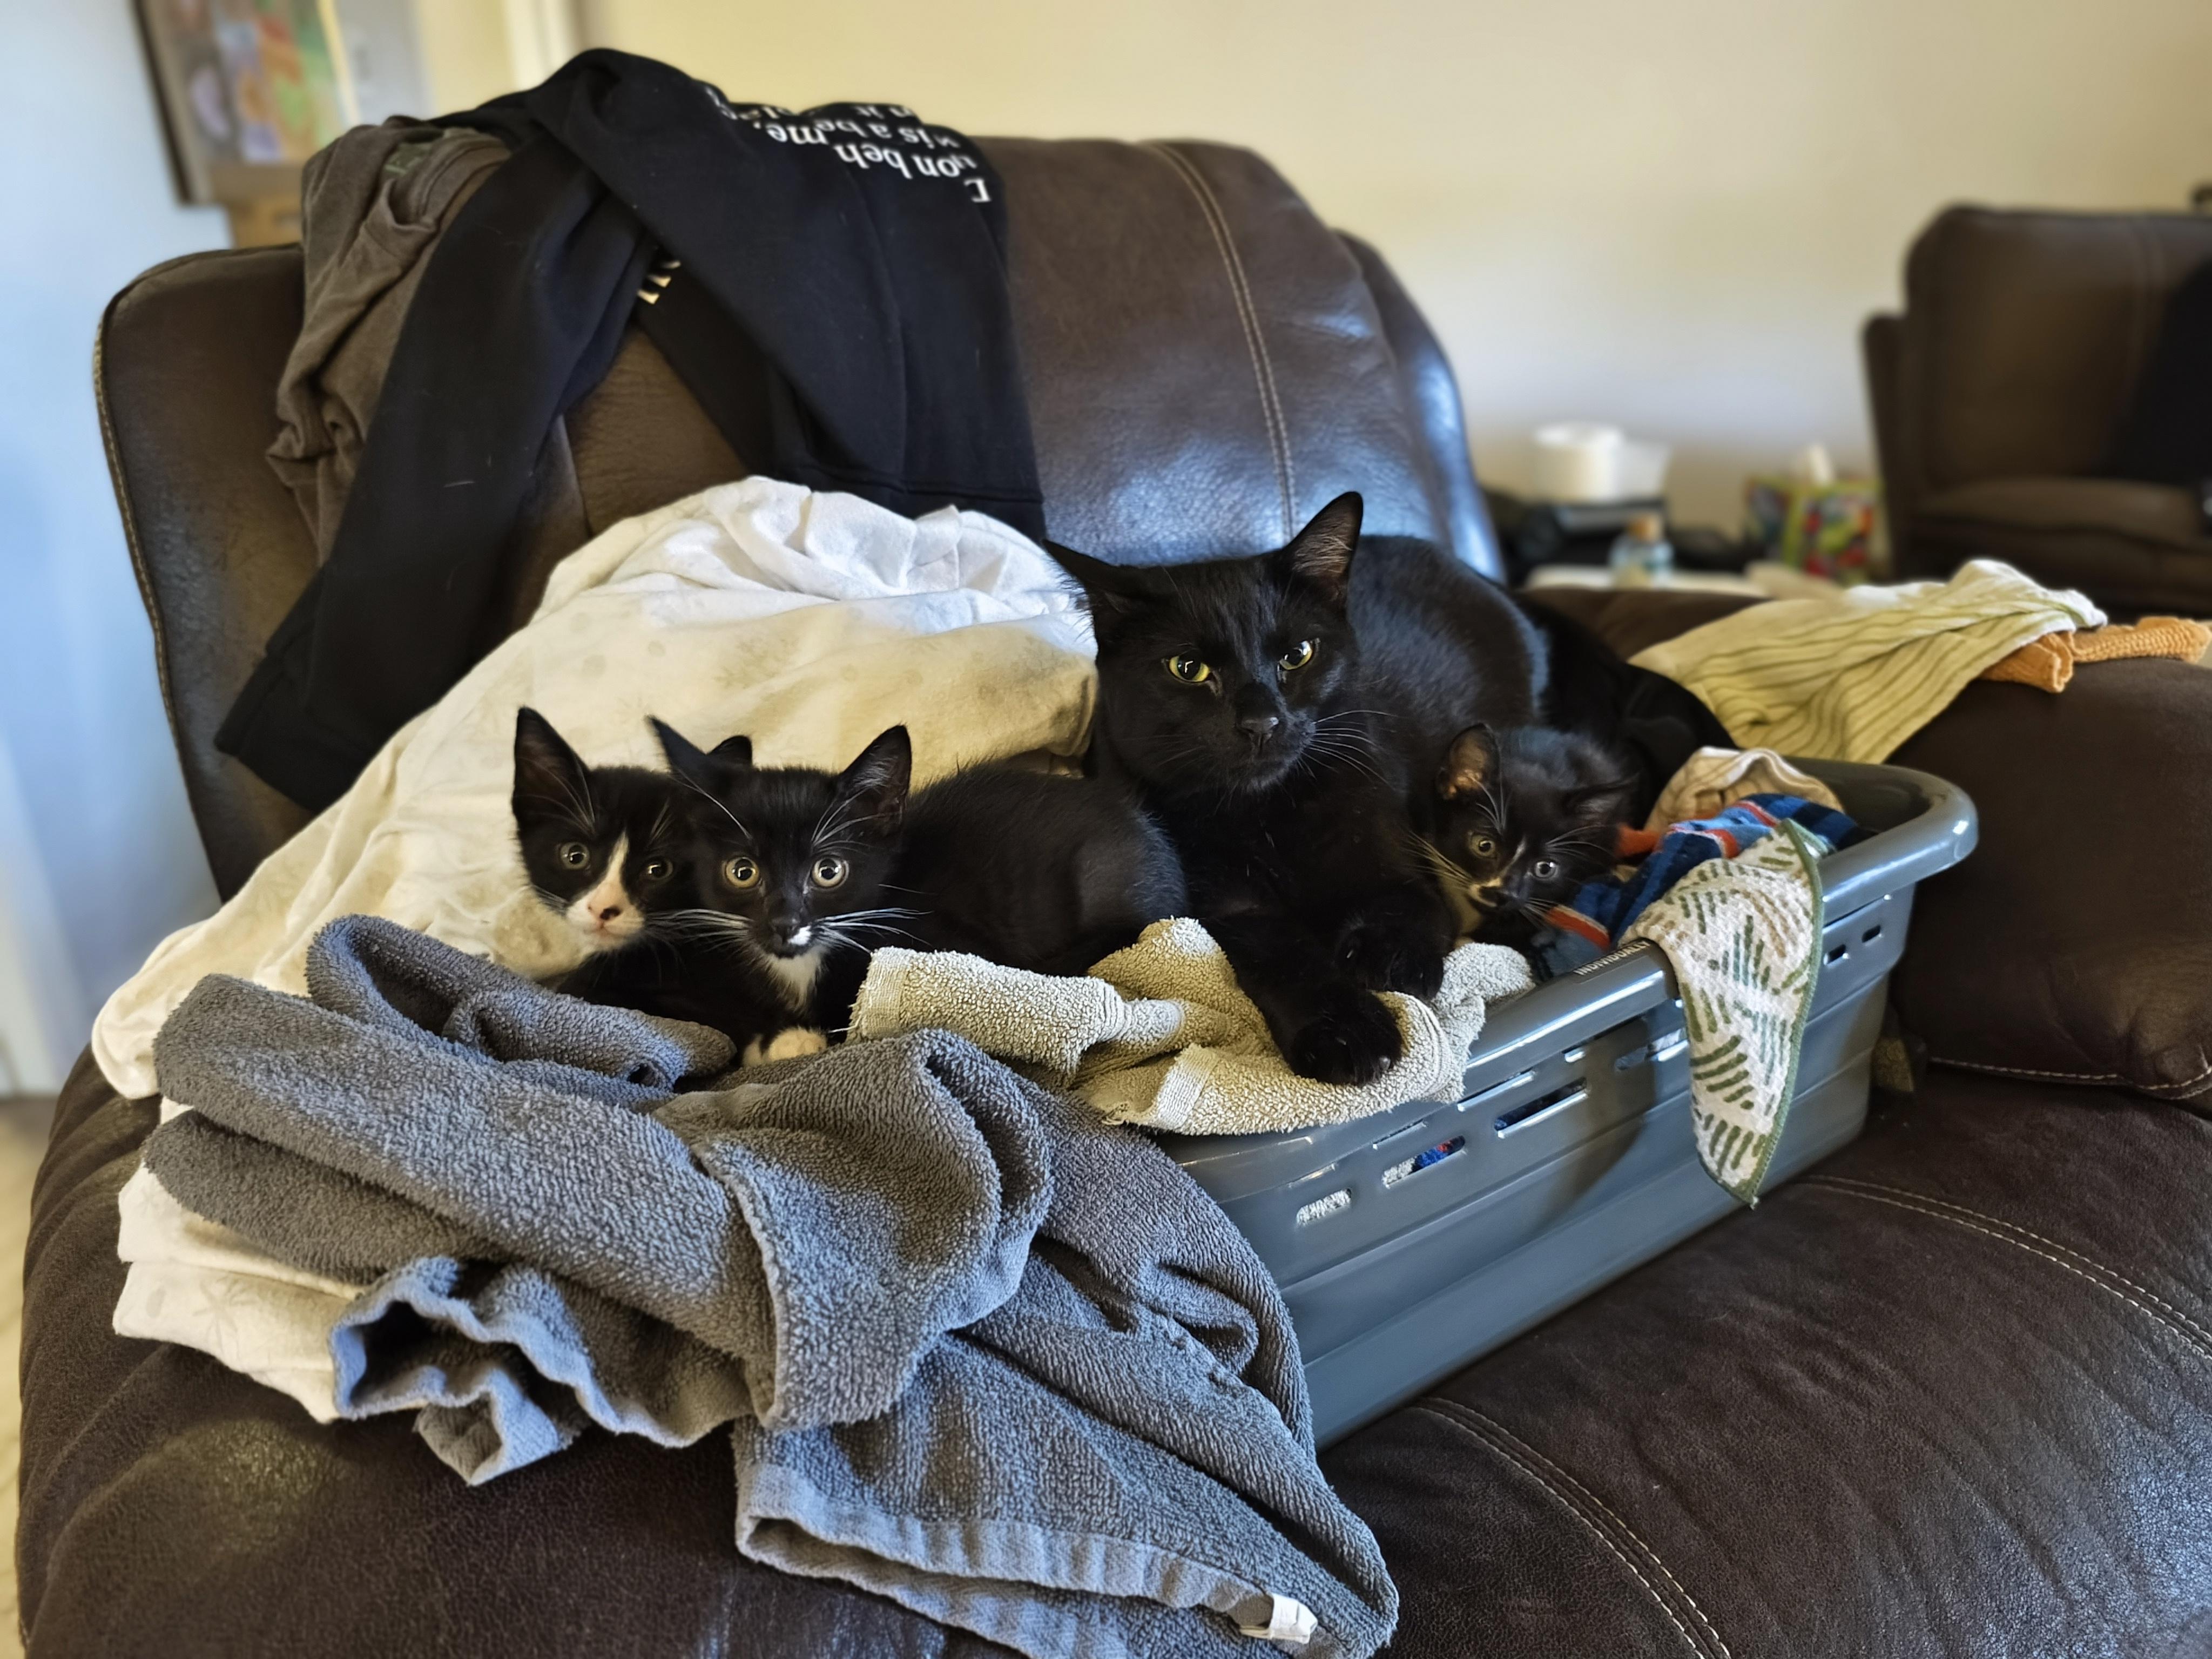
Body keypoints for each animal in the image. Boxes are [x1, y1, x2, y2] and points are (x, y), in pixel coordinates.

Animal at [1048, 495, 1459, 1085]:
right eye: (1188, 668)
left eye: (1298, 654)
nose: (1262, 723)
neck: (1268, 813)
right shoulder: (1228, 909)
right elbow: (1283, 954)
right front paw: (1348, 1031)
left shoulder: (1400, 860)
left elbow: (1406, 905)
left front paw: (1387, 960)